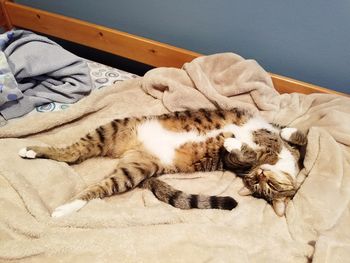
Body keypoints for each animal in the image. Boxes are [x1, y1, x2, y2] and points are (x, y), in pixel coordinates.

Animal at [18, 108, 306, 218]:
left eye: (265, 186)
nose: (260, 175)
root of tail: (132, 148)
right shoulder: (265, 142)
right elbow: (296, 137)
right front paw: (287, 133)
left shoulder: (239, 162)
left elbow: (252, 152)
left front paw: (239, 143)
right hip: (114, 127)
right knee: (73, 152)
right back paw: (31, 150)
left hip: (133, 170)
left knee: (95, 182)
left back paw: (66, 207)